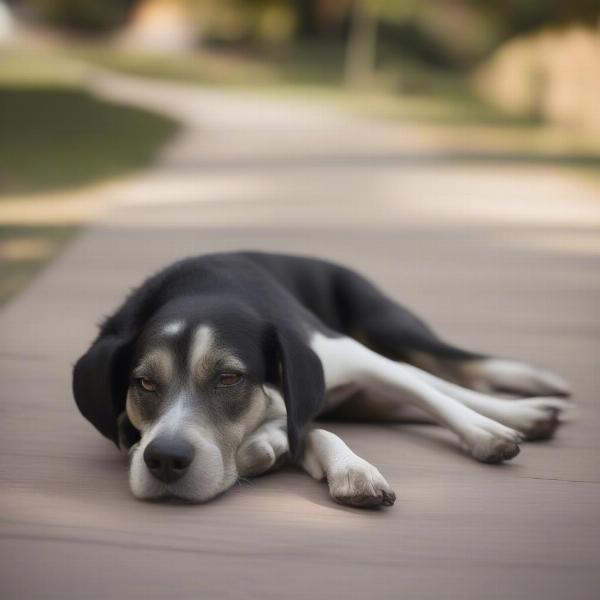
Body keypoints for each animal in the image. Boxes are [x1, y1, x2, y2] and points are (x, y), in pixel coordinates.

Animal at [72, 251, 568, 508]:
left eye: (229, 378)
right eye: (143, 384)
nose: (166, 460)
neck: (201, 292)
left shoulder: (344, 355)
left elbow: (433, 397)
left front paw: (485, 434)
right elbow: (309, 432)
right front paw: (337, 465)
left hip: (384, 329)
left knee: (438, 375)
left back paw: (527, 404)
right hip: (365, 396)